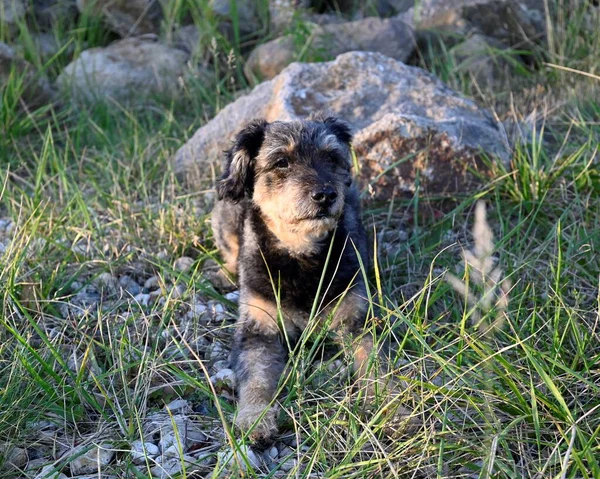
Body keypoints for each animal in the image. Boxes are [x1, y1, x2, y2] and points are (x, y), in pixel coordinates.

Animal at [210, 114, 376, 440]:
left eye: (331, 157)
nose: (325, 195)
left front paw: (393, 406)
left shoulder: (356, 321)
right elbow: (256, 378)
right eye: (281, 162)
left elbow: (376, 367)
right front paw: (254, 417)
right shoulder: (258, 327)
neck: (301, 254)